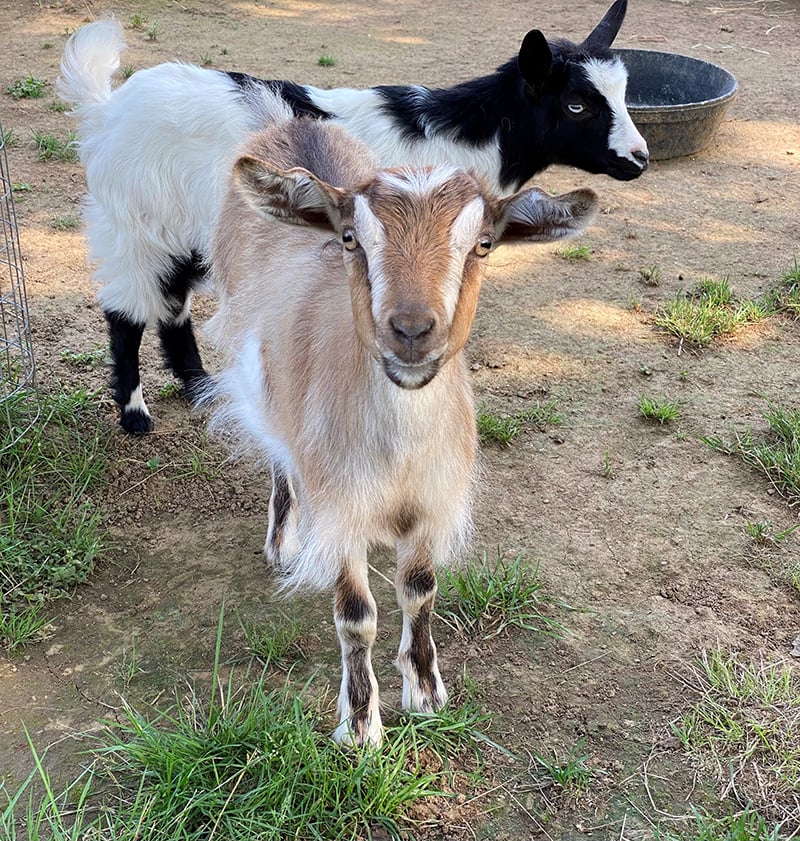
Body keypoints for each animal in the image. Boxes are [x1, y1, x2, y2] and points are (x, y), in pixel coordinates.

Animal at [57, 0, 645, 436]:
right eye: (576, 105)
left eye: (623, 95)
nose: (638, 159)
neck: (459, 141)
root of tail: (108, 108)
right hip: (134, 221)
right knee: (126, 311)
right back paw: (135, 414)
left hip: (185, 228)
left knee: (172, 300)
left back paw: (200, 386)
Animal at [205, 102, 599, 747]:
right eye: (349, 238)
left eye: (483, 244)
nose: (412, 330)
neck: (399, 453)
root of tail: (289, 122)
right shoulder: (343, 509)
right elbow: (356, 617)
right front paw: (362, 725)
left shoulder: (431, 504)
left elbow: (420, 593)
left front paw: (425, 691)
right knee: (278, 450)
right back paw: (283, 543)